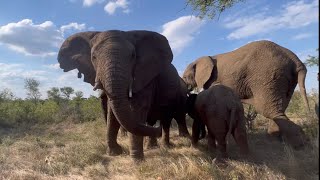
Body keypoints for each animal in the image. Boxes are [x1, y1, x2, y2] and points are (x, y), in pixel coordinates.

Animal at [57, 29, 190, 160]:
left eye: (133, 56)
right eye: (93, 57)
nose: (157, 130)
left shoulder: (145, 76)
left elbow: (137, 108)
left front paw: (137, 160)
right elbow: (112, 112)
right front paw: (115, 153)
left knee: (168, 119)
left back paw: (166, 144)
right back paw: (152, 145)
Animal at [182, 40, 310, 148]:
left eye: (185, 77)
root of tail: (295, 59)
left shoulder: (215, 79)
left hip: (267, 75)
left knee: (267, 109)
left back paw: (299, 144)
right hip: (285, 78)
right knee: (279, 108)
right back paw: (275, 140)